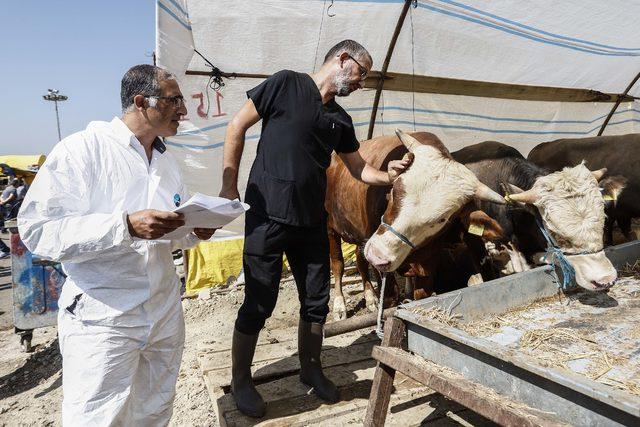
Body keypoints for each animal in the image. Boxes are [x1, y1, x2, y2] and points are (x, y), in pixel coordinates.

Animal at [324, 130, 504, 320]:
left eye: (442, 219)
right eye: (393, 190)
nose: (377, 255)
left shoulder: (427, 266)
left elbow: (421, 296)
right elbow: (390, 297)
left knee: (360, 261)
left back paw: (370, 297)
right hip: (330, 227)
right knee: (338, 264)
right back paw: (339, 306)